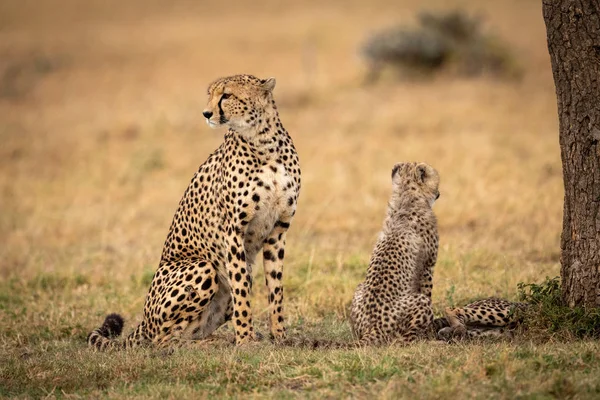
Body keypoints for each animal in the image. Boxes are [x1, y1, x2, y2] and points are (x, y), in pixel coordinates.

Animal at [88, 75, 300, 350]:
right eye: (210, 94)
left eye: (227, 95)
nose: (206, 113)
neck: (264, 143)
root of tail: (144, 322)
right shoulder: (233, 230)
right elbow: (242, 291)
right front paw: (245, 340)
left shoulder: (278, 229)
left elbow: (276, 289)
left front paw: (280, 336)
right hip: (203, 266)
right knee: (163, 340)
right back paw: (212, 344)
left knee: (190, 330)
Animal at [352, 162, 440, 344]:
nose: (439, 193)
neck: (407, 197)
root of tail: (372, 327)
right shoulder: (427, 267)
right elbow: (428, 291)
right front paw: (431, 331)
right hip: (419, 303)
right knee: (404, 340)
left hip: (358, 289)